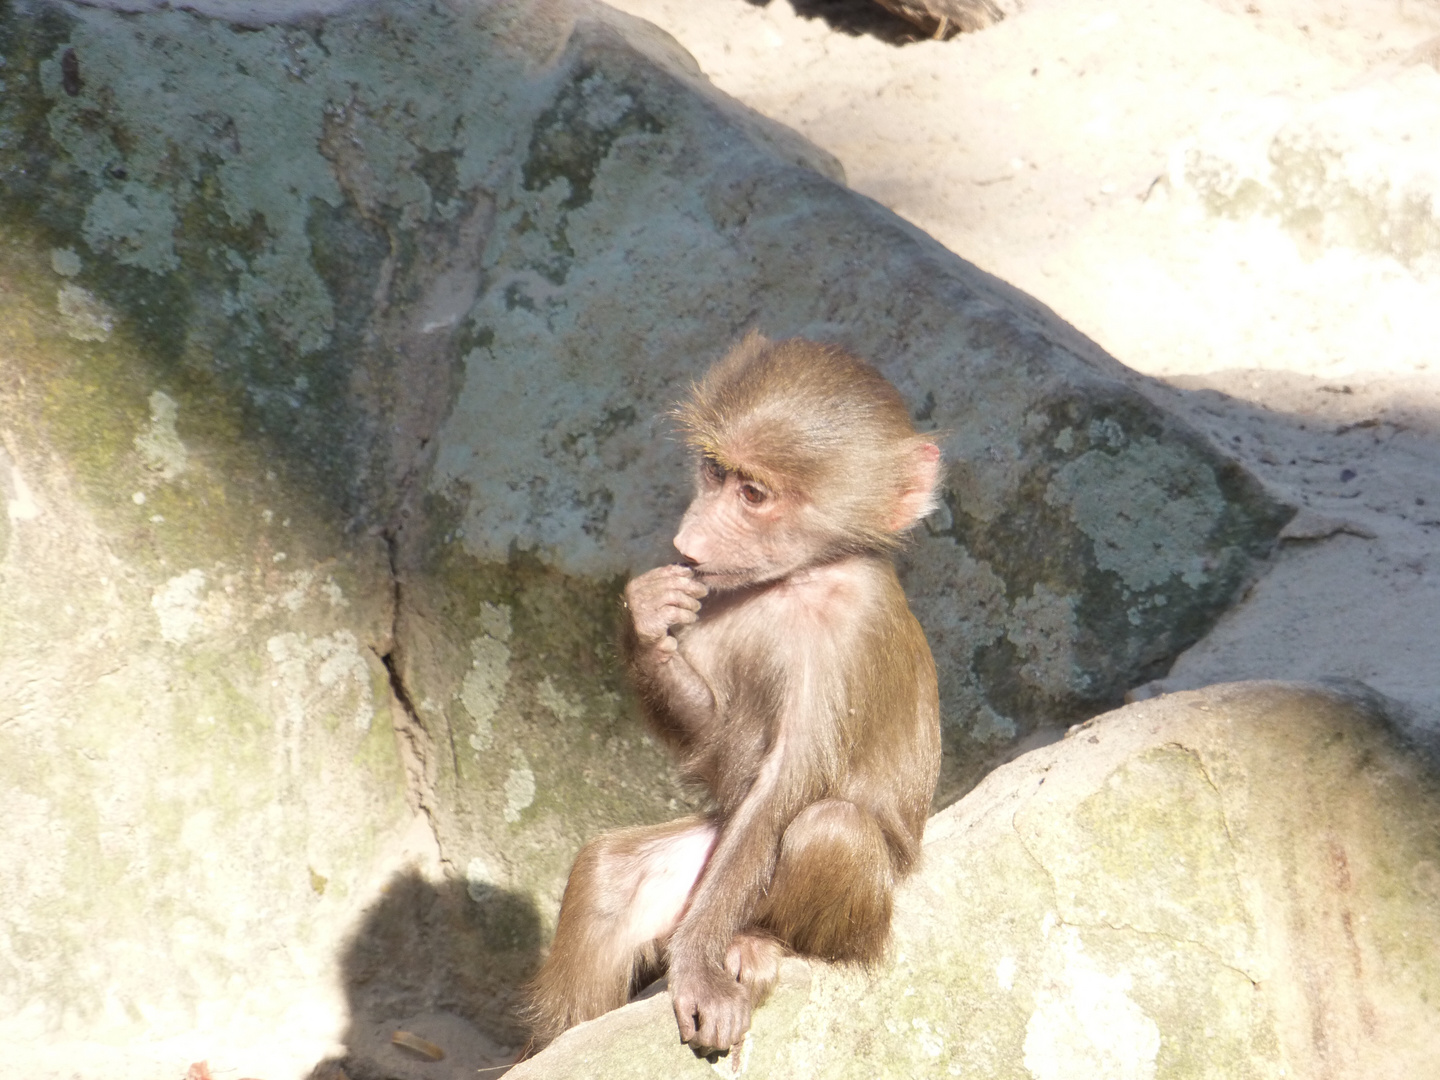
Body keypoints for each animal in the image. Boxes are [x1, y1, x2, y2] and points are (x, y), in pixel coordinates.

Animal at [527, 332, 944, 1059]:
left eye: (754, 493)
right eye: (714, 473)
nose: (687, 541)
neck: (799, 580)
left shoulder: (844, 635)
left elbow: (784, 786)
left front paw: (696, 968)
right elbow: (719, 745)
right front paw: (647, 619)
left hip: (817, 908)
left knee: (831, 829)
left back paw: (756, 942)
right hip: (706, 862)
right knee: (608, 877)